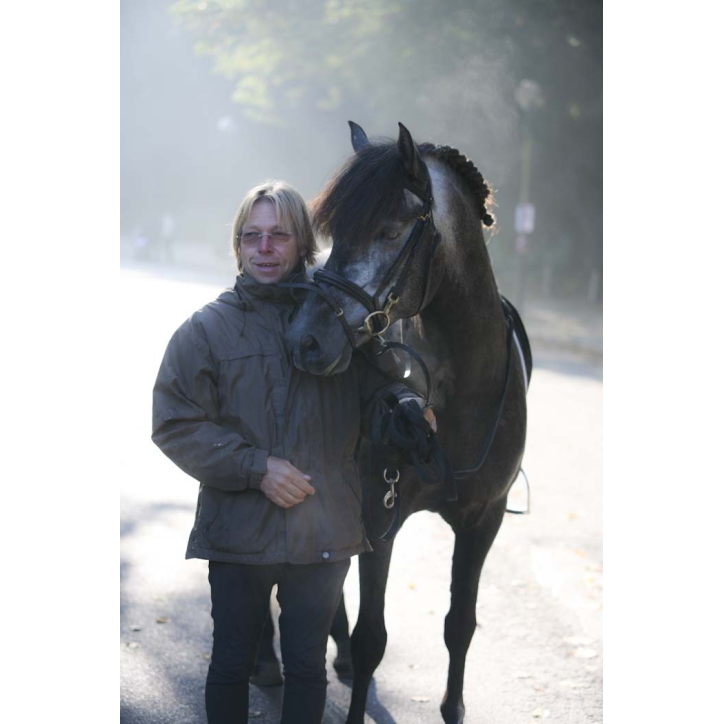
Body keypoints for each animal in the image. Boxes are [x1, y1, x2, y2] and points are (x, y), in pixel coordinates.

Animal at [285, 121, 530, 724]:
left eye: (391, 231)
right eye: (334, 233)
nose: (306, 338)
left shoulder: (484, 520)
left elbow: (460, 626)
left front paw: (453, 707)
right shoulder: (381, 513)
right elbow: (373, 637)